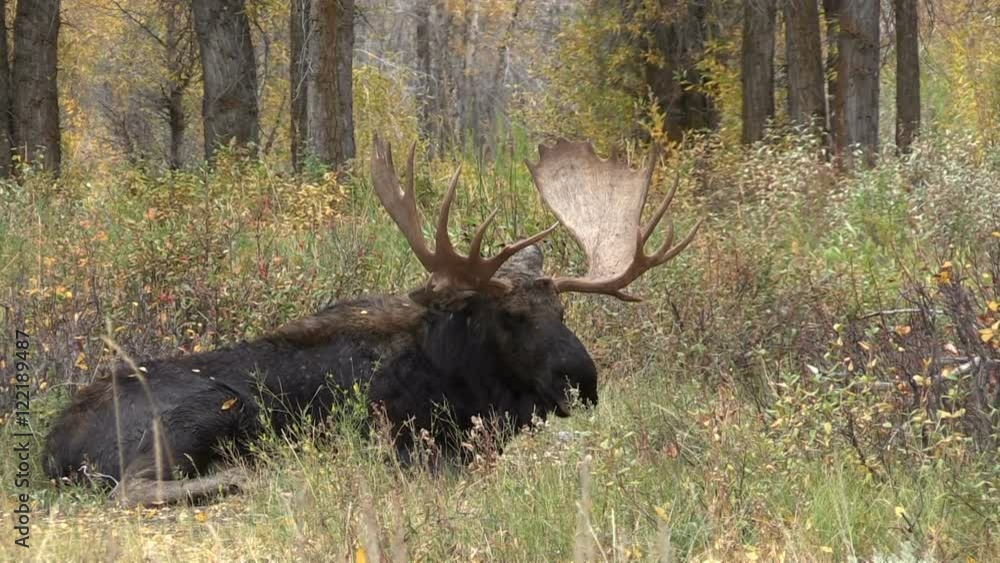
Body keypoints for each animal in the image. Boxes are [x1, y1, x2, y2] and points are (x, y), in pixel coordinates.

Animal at [43, 137, 701, 507]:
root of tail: (53, 449)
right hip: (203, 409)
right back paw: (252, 478)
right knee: (131, 489)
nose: (582, 380)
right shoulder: (417, 446)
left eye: (562, 310)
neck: (465, 379)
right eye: (512, 315)